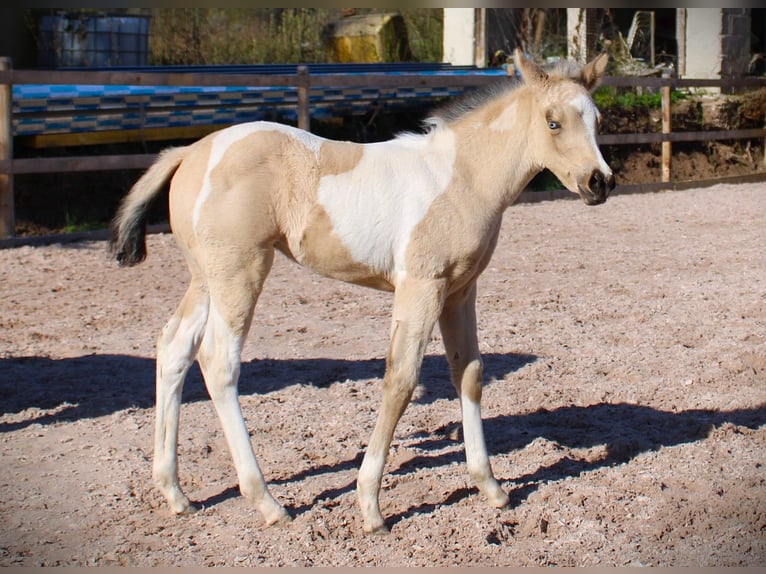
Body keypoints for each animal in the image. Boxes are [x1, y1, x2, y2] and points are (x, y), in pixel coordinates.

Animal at [110, 49, 615, 534]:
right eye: (553, 121)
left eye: (597, 120)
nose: (599, 182)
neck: (460, 176)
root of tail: (191, 151)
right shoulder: (421, 287)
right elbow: (401, 379)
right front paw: (370, 505)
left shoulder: (460, 292)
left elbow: (469, 372)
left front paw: (490, 486)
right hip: (240, 272)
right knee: (218, 362)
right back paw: (268, 503)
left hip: (205, 279)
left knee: (174, 348)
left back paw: (175, 493)